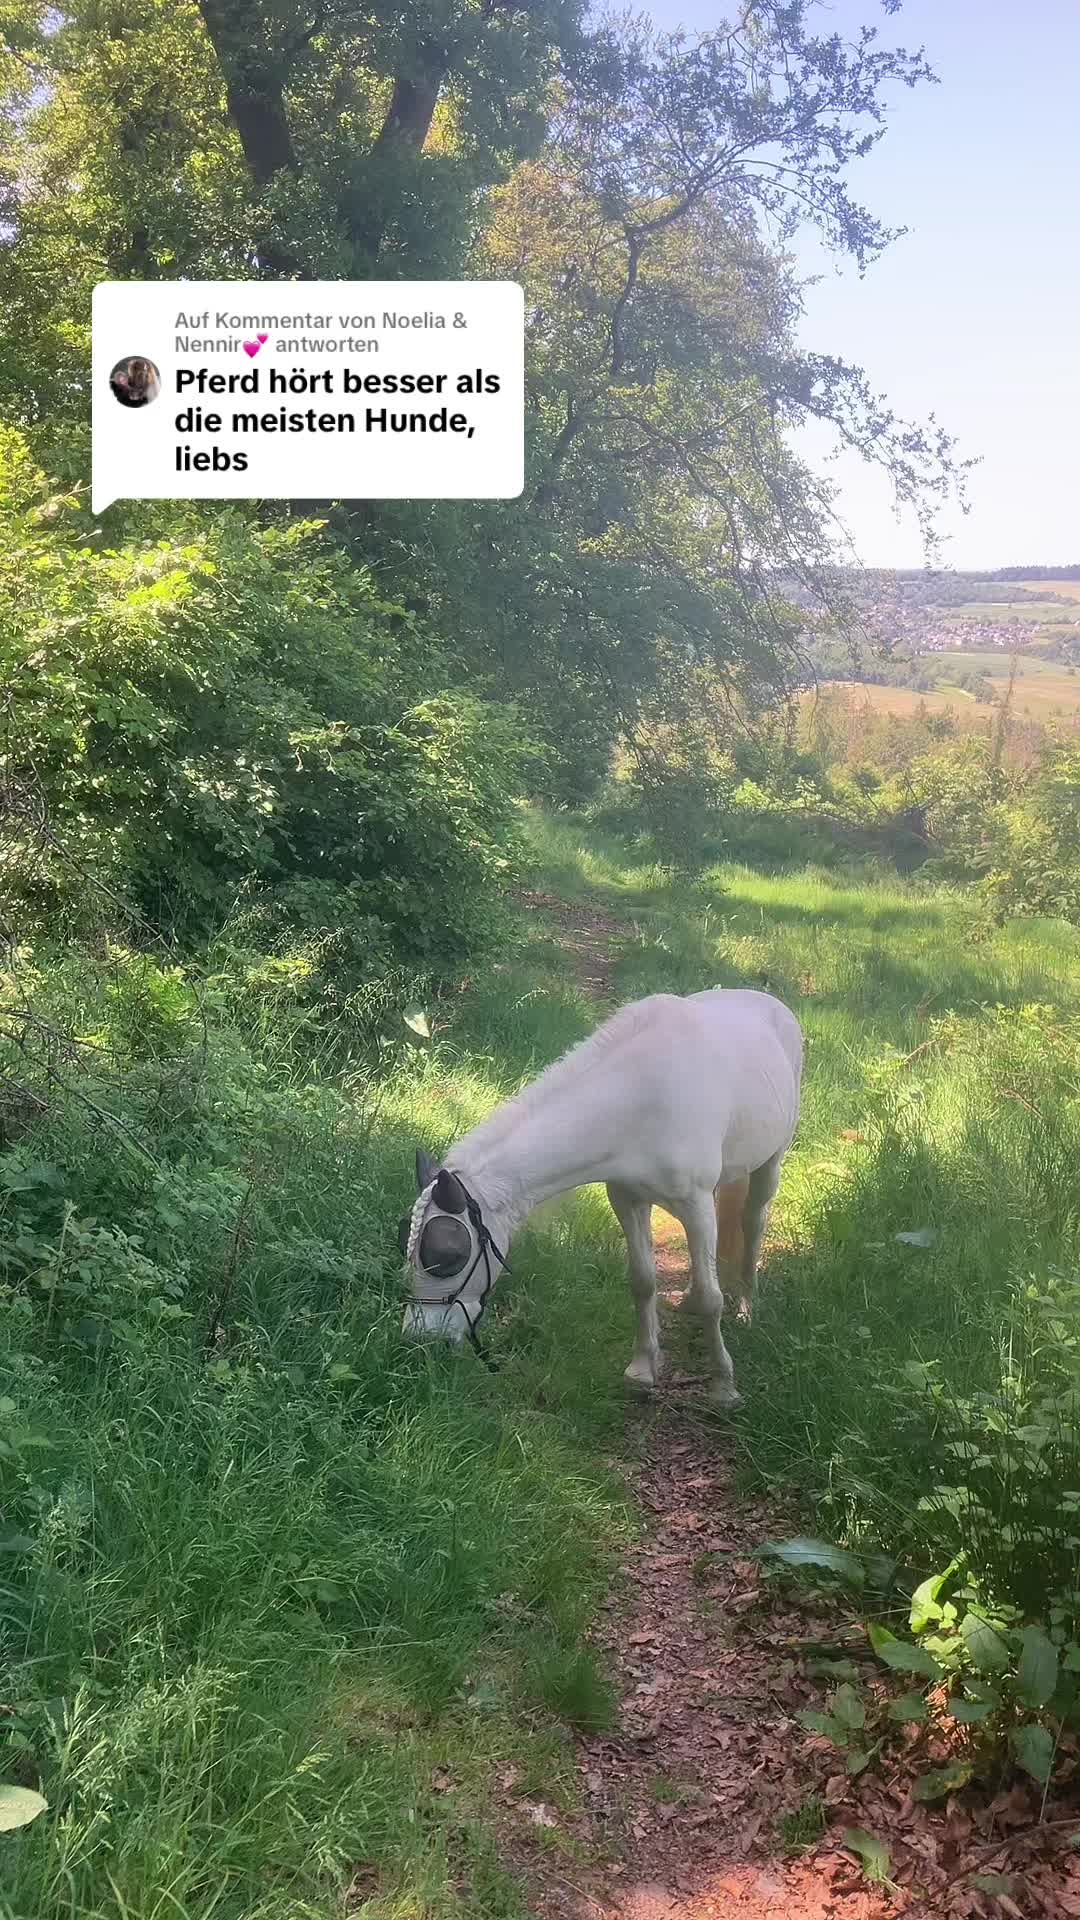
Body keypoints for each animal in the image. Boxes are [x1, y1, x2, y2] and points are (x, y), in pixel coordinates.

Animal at [399, 987, 802, 1407]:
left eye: (450, 1254)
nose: (420, 1342)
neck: (640, 1100)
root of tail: (769, 1002)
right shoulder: (627, 1200)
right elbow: (642, 1282)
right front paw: (641, 1370)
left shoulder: (695, 1206)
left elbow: (712, 1298)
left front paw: (724, 1387)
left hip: (770, 1163)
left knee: (752, 1223)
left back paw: (746, 1309)